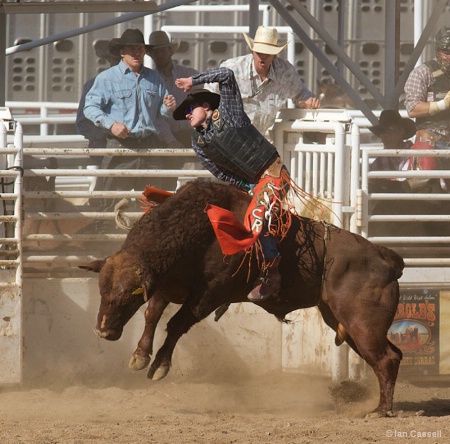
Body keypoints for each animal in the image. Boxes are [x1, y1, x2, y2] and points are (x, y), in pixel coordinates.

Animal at [81, 180, 404, 416]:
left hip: (362, 321)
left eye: (128, 295)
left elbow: (176, 324)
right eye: (102, 290)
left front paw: (159, 365)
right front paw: (139, 355)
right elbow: (152, 315)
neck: (197, 228)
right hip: (344, 321)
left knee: (385, 359)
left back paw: (381, 410)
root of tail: (384, 256)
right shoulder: (167, 286)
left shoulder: (210, 294)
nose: (103, 330)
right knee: (392, 355)